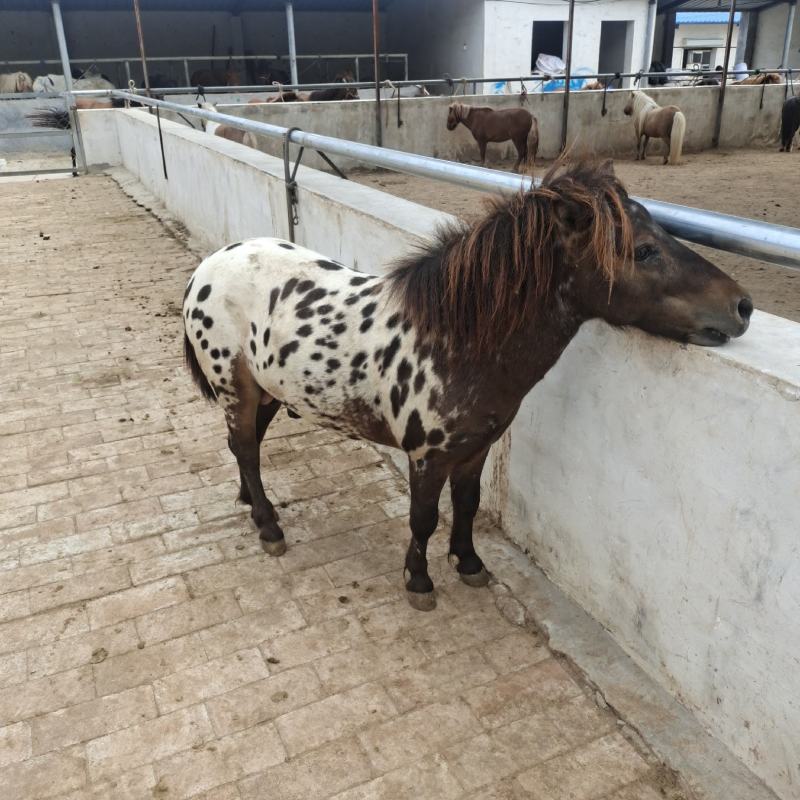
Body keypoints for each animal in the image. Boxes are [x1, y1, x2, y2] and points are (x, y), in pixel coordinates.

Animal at [181, 161, 752, 611]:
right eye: (645, 250)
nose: (742, 306)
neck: (459, 338)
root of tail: (207, 268)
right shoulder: (426, 457)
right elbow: (423, 517)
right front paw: (418, 581)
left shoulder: (477, 448)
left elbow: (469, 504)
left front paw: (470, 562)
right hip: (235, 386)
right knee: (245, 445)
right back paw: (268, 526)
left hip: (267, 391)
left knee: (245, 444)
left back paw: (251, 501)